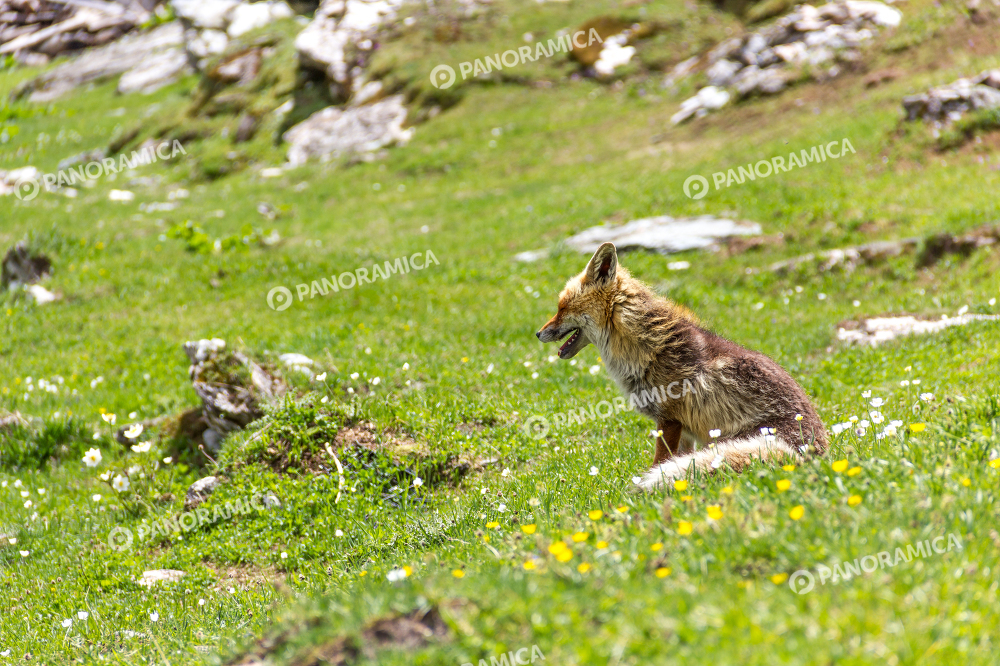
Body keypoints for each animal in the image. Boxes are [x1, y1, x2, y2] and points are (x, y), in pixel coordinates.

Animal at [535, 242, 828, 489]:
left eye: (562, 308)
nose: (537, 334)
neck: (648, 347)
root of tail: (815, 453)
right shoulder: (684, 430)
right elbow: (675, 460)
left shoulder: (669, 420)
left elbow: (660, 463)